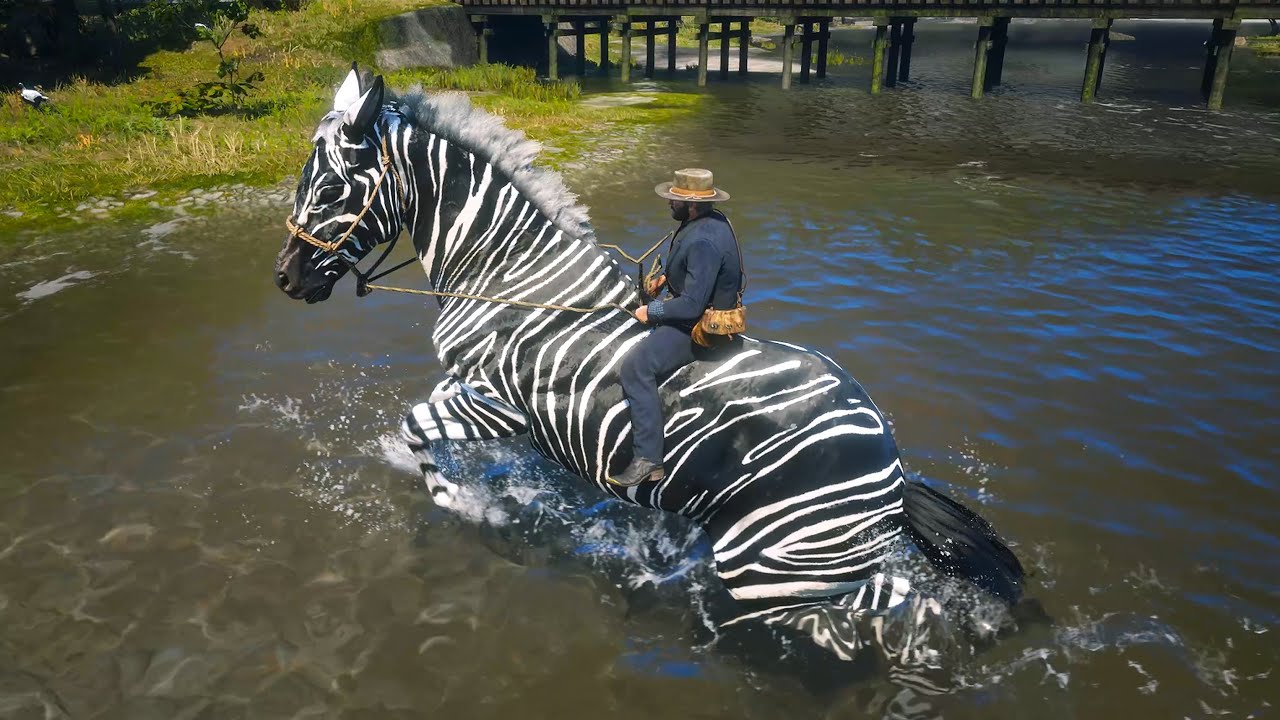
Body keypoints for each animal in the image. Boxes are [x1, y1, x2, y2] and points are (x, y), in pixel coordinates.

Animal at [273, 66, 1026, 664]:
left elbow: (416, 429)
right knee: (898, 594)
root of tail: (891, 460)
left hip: (768, 562)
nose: (285, 280)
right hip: (805, 557)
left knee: (881, 606)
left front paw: (465, 503)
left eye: (332, 190)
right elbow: (432, 433)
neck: (509, 275)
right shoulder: (493, 401)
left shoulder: (496, 400)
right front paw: (494, 491)